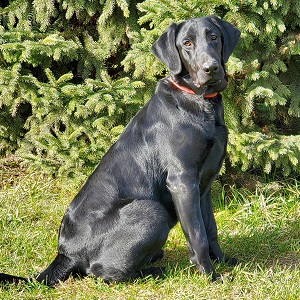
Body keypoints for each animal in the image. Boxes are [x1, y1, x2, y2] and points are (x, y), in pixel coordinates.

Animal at [0, 14, 240, 286]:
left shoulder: (205, 184)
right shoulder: (183, 180)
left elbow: (210, 228)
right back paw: (155, 271)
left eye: (214, 37)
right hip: (152, 211)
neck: (199, 102)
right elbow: (197, 234)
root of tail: (65, 254)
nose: (211, 68)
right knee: (102, 272)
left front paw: (223, 261)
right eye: (187, 43)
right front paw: (210, 276)